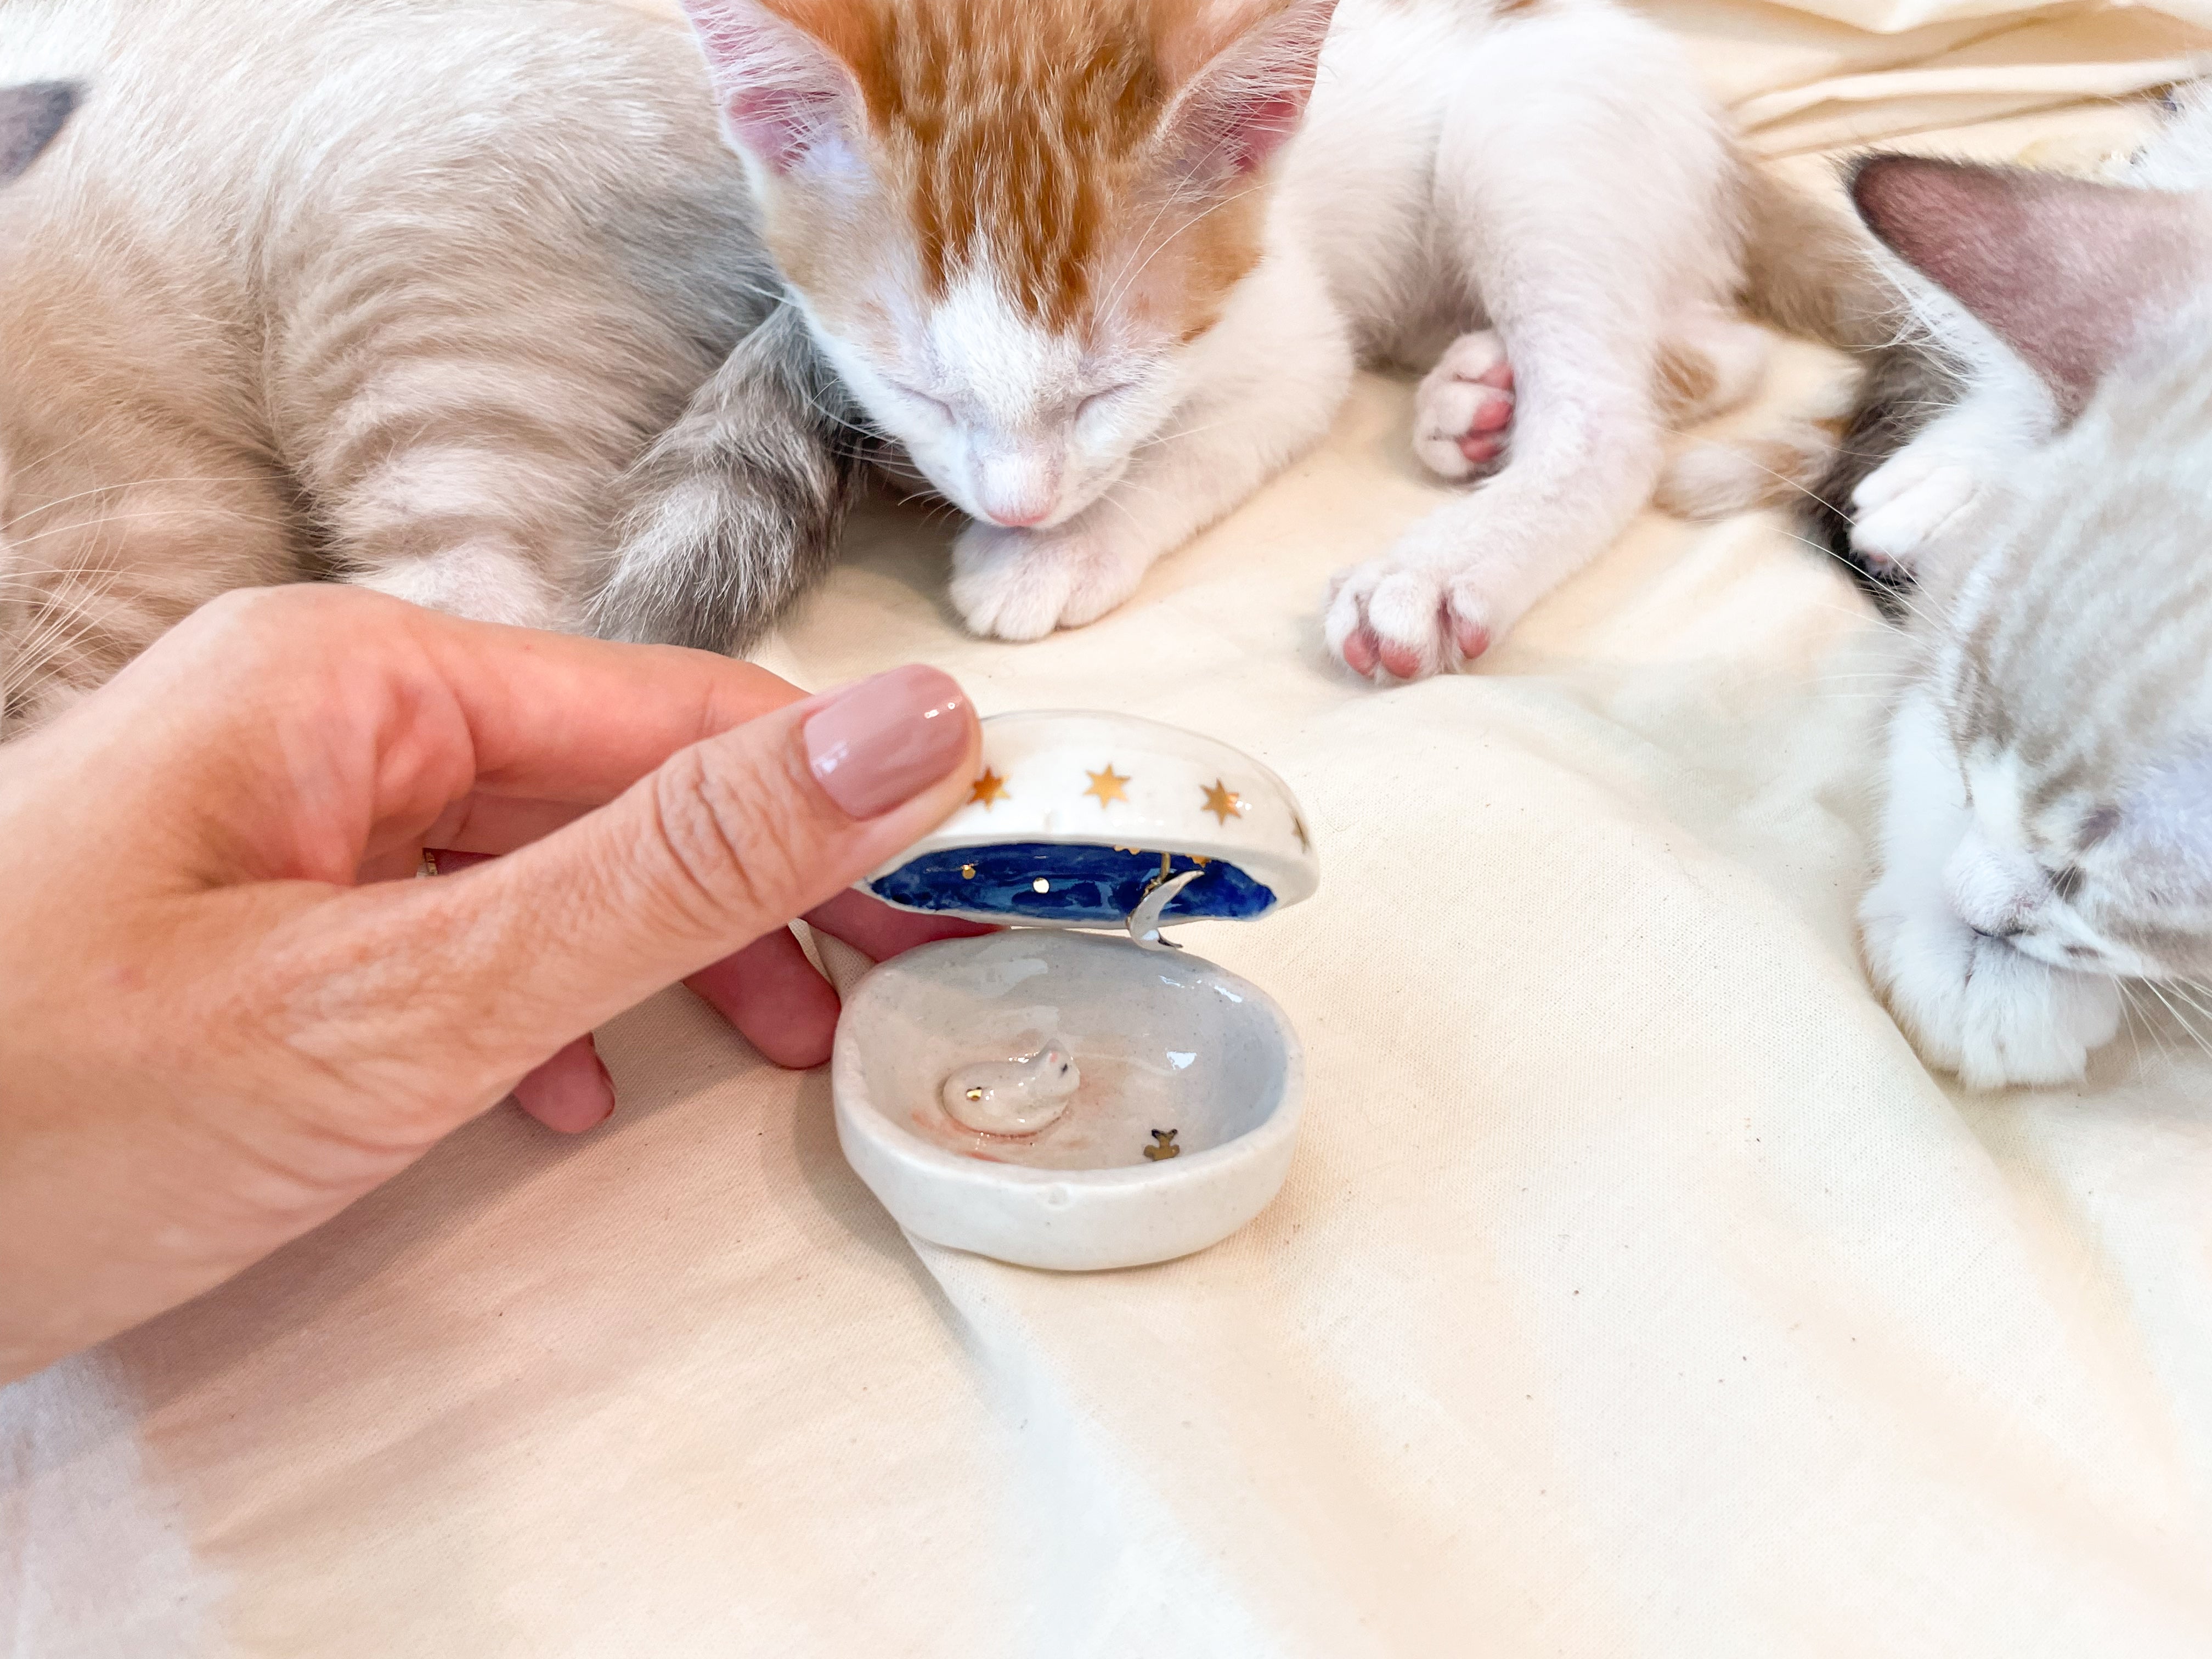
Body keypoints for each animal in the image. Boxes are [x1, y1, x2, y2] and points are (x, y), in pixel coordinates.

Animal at [676, 0, 1831, 681]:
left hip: (1532, 126)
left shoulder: (1290, 335)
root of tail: (1726, 134)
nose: (1020, 509)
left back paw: (1450, 555)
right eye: (915, 390)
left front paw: (1058, 552)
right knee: (1718, 346)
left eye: (1108, 391)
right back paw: (1479, 395)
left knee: (1610, 419)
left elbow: (1189, 448)